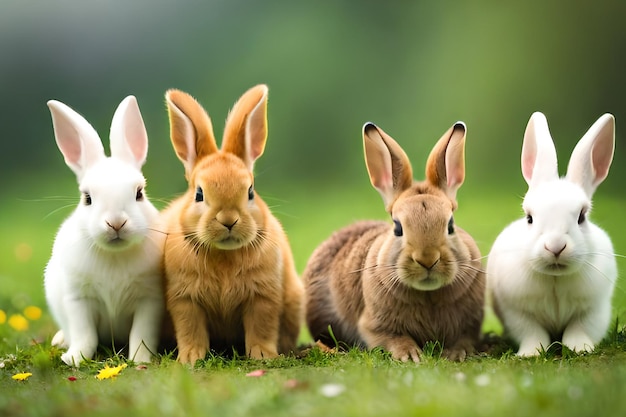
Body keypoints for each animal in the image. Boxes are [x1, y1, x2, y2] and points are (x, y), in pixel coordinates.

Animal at [44, 96, 166, 366]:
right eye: (87, 198)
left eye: (139, 193)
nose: (116, 223)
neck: (114, 257)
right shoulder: (78, 300)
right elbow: (85, 335)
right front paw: (74, 359)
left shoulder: (150, 301)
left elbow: (141, 335)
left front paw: (140, 360)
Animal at [161, 85, 302, 364]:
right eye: (199, 194)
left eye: (250, 191)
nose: (228, 220)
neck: (224, 255)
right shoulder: (184, 300)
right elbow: (190, 329)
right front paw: (190, 358)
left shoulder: (263, 298)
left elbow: (262, 328)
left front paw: (263, 356)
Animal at [302, 121, 482, 360]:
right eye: (398, 228)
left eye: (450, 225)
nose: (427, 260)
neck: (428, 295)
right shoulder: (373, 326)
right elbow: (392, 338)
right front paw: (411, 355)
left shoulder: (470, 325)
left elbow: (465, 339)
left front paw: (455, 354)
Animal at [488, 112, 616, 356]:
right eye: (529, 217)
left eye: (582, 217)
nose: (555, 246)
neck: (555, 279)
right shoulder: (516, 312)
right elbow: (532, 332)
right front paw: (530, 353)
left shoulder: (594, 310)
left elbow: (579, 328)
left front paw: (579, 348)